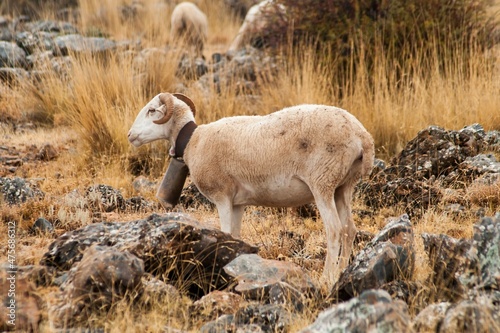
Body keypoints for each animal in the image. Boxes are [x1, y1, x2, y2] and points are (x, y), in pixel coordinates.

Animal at [127, 92, 374, 282]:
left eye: (151, 110)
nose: (130, 135)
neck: (193, 141)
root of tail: (362, 137)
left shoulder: (222, 196)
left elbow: (226, 232)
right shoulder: (238, 203)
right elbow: (236, 236)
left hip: (322, 181)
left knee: (334, 229)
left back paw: (327, 277)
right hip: (343, 186)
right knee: (349, 229)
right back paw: (341, 272)